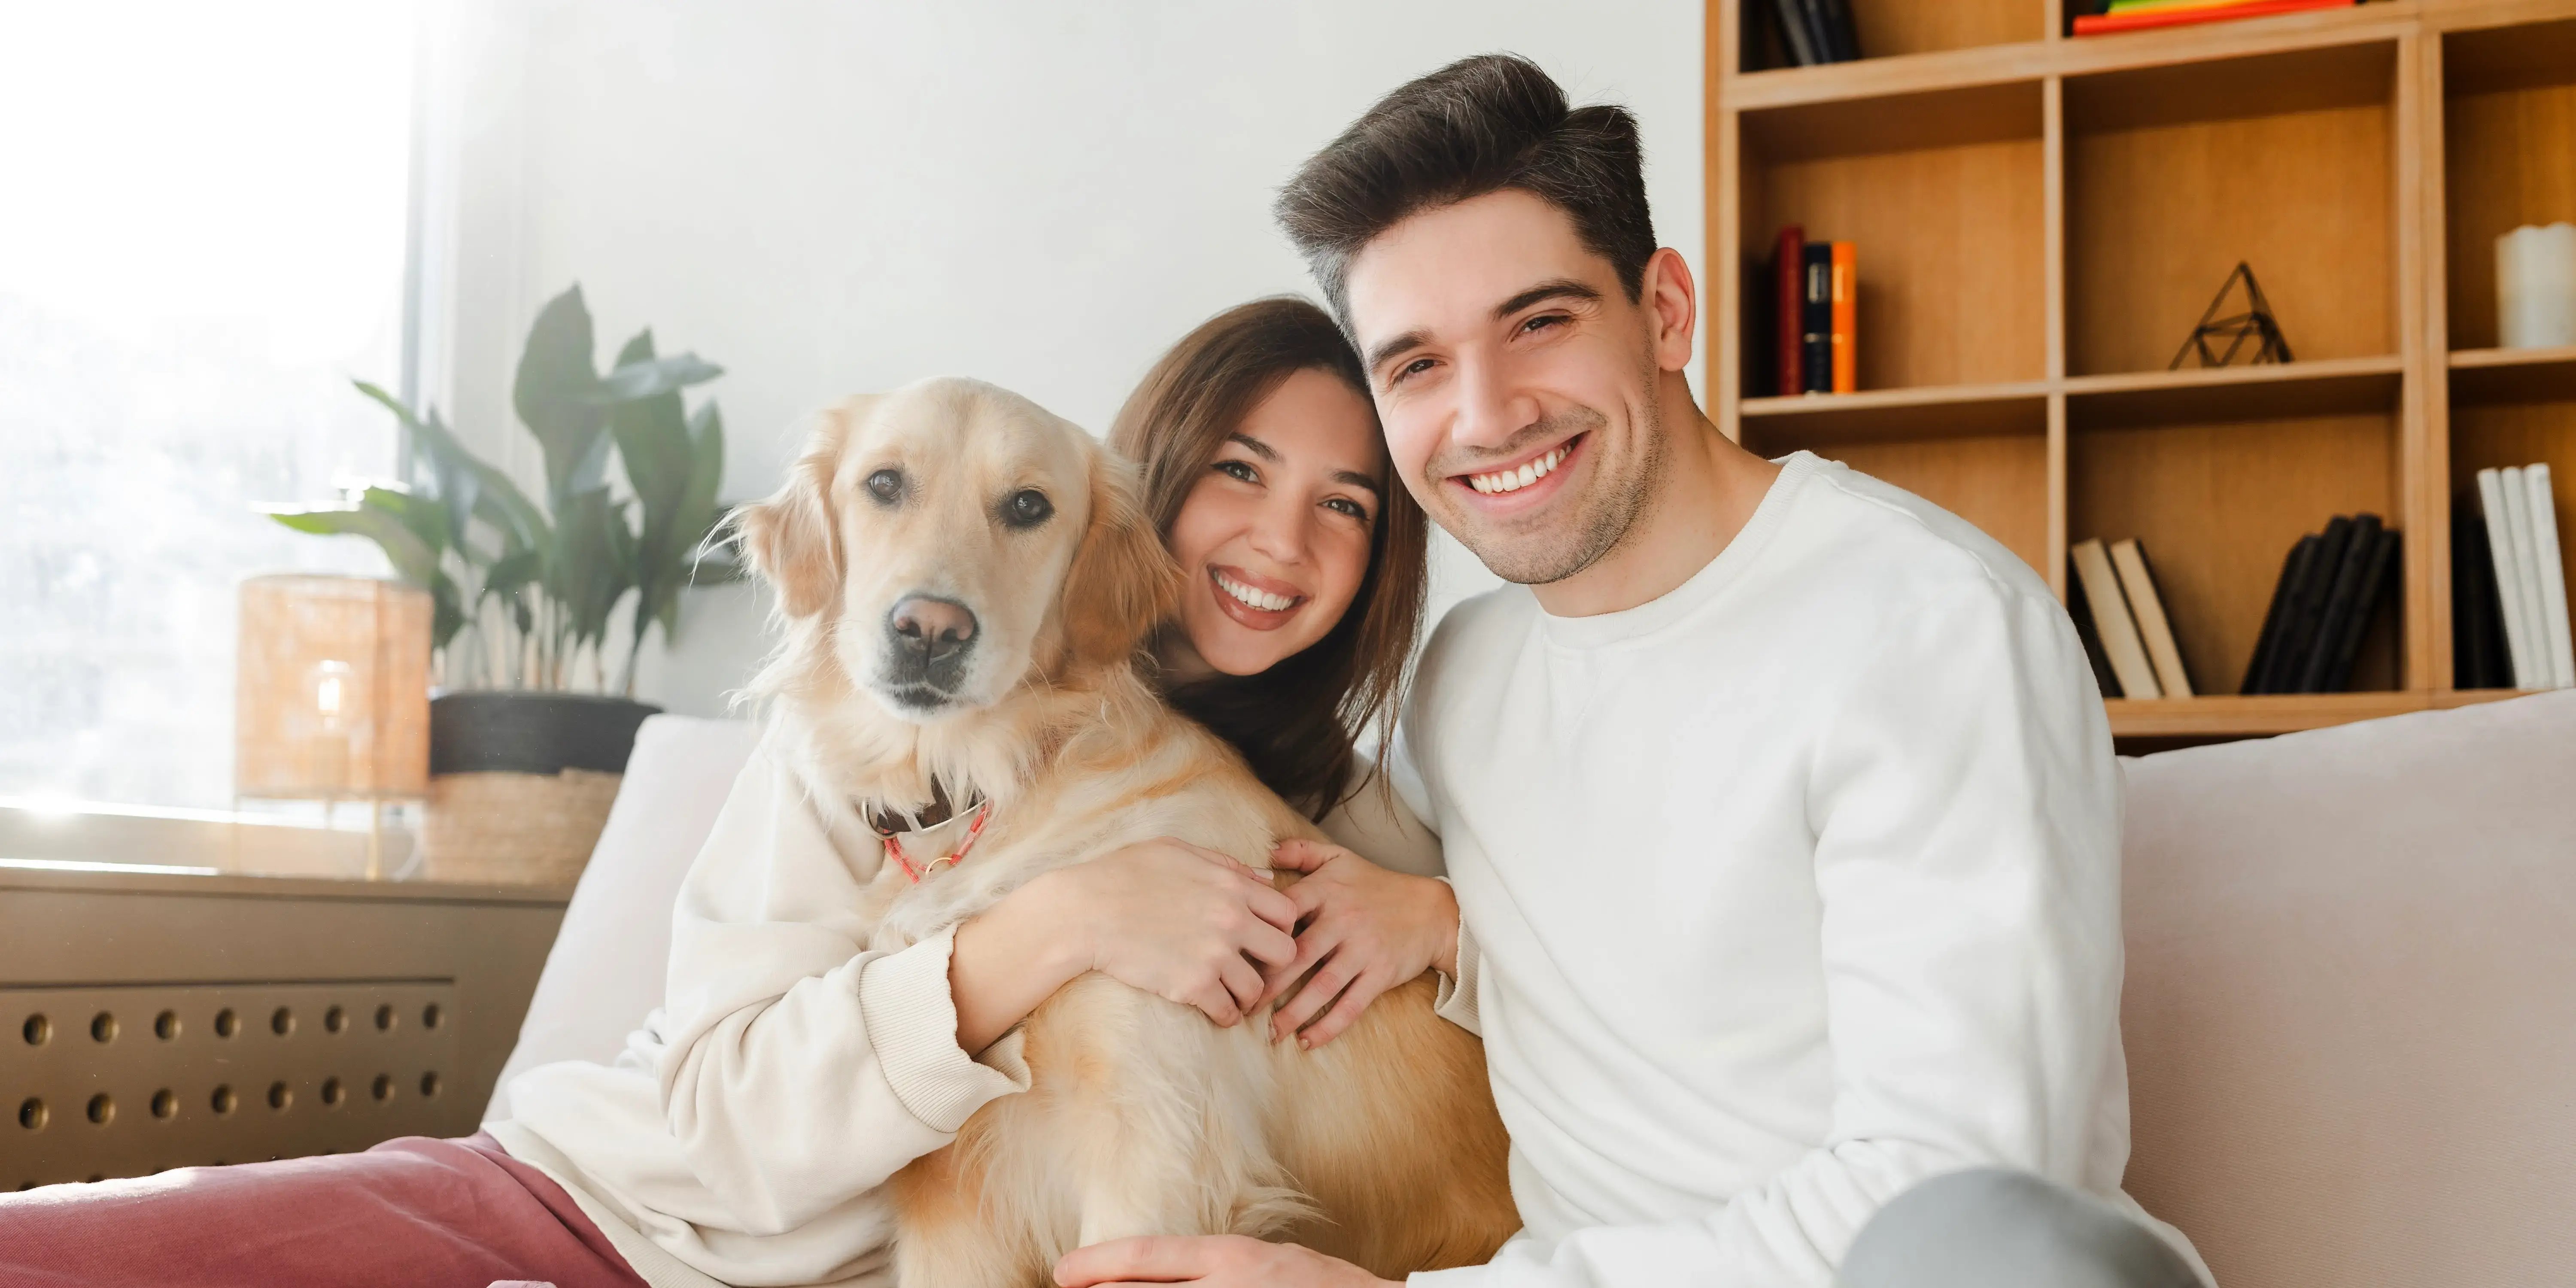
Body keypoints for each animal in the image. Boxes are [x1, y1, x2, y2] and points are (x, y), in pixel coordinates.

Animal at [737, 376, 1515, 1283]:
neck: (984, 786)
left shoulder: (1153, 1154)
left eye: (1029, 506)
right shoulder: (951, 1203)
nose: (929, 630)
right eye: (884, 484)